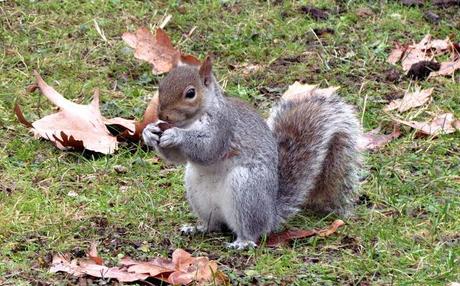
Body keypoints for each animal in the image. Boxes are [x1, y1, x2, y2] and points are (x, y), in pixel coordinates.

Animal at [142, 57, 362, 249]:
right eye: (161, 86)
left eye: (190, 93)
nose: (162, 115)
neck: (192, 121)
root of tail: (271, 215)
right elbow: (177, 157)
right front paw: (149, 132)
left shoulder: (224, 127)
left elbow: (207, 149)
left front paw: (176, 135)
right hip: (198, 193)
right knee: (214, 225)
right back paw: (198, 228)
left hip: (246, 189)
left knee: (253, 230)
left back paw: (243, 242)